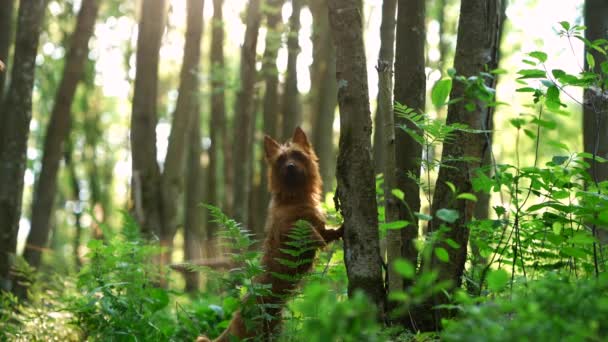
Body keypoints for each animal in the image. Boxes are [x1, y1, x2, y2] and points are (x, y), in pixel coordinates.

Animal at [200, 128, 342, 342]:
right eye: (281, 160)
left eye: (297, 155)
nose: (290, 166)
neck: (294, 198)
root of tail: (235, 318)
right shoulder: (289, 231)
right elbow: (308, 231)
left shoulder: (320, 227)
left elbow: (327, 232)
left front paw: (342, 229)